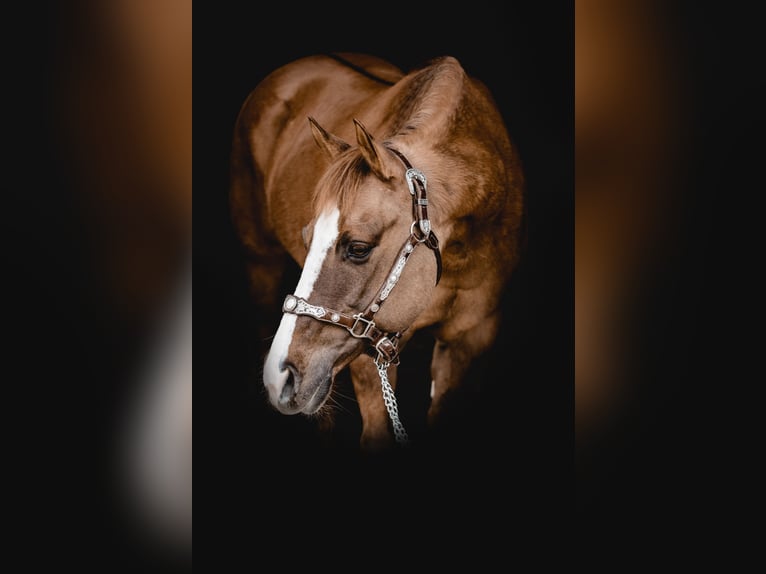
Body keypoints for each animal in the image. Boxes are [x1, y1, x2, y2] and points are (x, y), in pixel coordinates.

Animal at [230, 53, 524, 449]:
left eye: (358, 248)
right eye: (308, 238)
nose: (281, 378)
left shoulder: (469, 342)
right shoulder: (372, 357)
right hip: (260, 265)